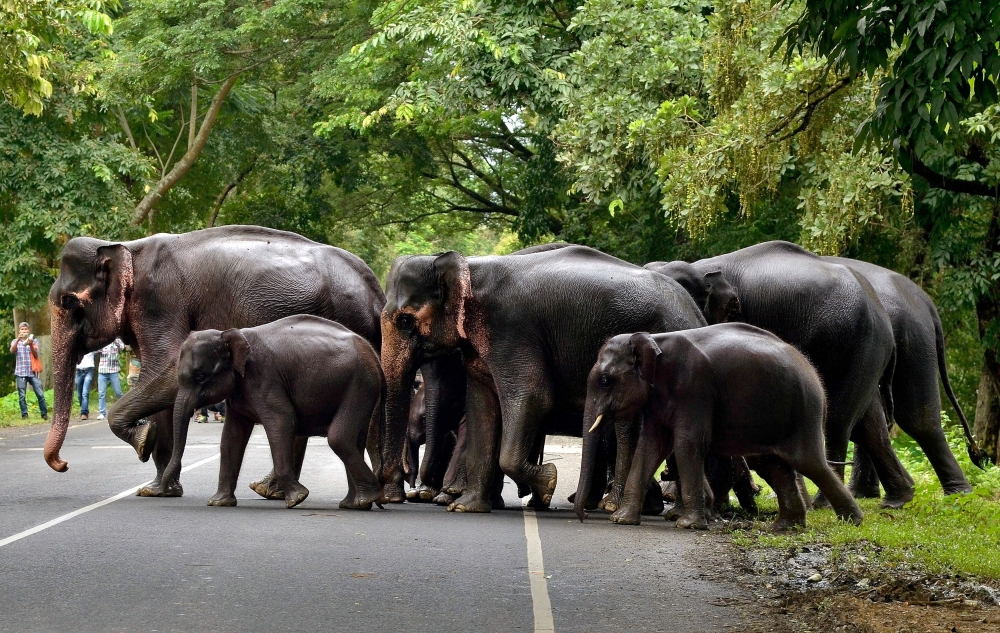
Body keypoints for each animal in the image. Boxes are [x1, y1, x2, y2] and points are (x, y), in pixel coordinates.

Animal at [171, 316, 383, 509]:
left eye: (200, 376)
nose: (175, 489)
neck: (229, 334)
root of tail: (373, 354)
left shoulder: (263, 378)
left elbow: (282, 421)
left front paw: (297, 499)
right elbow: (232, 436)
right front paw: (218, 503)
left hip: (360, 384)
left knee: (339, 439)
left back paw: (369, 497)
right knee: (354, 440)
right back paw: (355, 504)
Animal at [380, 244, 707, 513]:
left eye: (405, 320)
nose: (392, 494)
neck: (470, 266)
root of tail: (694, 311)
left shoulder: (512, 331)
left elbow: (533, 397)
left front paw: (548, 483)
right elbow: (482, 407)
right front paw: (466, 507)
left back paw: (626, 508)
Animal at [577, 327, 864, 530]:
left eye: (605, 380)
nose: (583, 517)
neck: (653, 339)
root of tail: (812, 372)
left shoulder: (695, 389)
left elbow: (687, 444)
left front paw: (688, 525)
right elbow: (650, 447)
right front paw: (621, 520)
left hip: (803, 411)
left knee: (809, 462)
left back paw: (852, 522)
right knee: (774, 464)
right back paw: (783, 528)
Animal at [645, 241, 915, 508]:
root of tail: (881, 312)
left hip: (855, 344)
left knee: (838, 422)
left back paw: (823, 504)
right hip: (867, 351)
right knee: (869, 423)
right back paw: (897, 499)